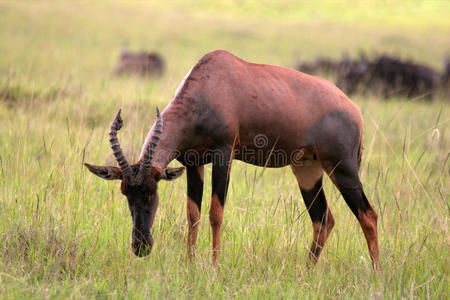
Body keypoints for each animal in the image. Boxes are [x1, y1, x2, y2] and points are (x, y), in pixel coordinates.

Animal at [84, 48, 380, 270]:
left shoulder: (223, 154)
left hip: (343, 169)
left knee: (368, 215)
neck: (209, 85)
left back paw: (376, 273)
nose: (141, 246)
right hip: (307, 170)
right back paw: (305, 272)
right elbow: (193, 213)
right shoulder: (193, 162)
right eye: (125, 192)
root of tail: (354, 109)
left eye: (150, 191)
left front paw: (215, 266)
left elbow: (216, 212)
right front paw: (190, 264)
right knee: (323, 219)